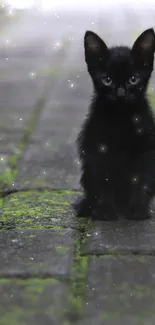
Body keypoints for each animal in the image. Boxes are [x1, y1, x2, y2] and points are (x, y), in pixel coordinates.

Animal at [74, 28, 155, 220]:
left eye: (133, 79)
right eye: (107, 80)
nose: (120, 94)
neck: (121, 119)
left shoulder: (146, 150)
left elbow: (142, 180)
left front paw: (138, 209)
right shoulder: (97, 149)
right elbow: (103, 180)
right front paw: (105, 210)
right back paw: (87, 207)